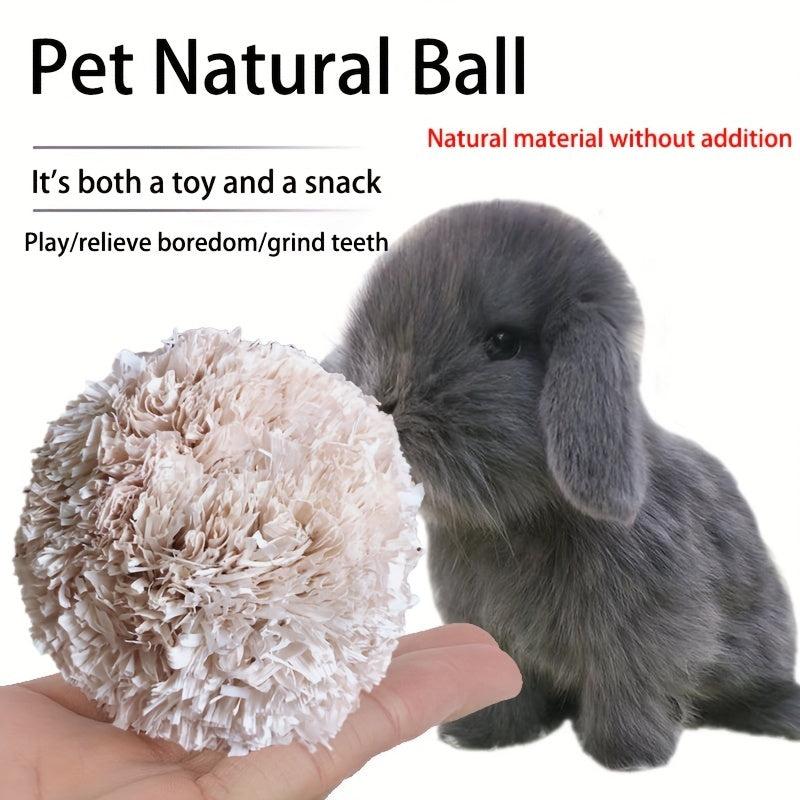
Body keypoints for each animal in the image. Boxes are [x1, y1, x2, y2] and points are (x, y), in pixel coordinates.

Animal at [322, 200, 800, 770]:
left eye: (503, 343)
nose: (380, 403)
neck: (523, 523)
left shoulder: (647, 635)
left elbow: (629, 691)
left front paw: (628, 757)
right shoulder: (494, 634)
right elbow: (509, 691)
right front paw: (482, 734)